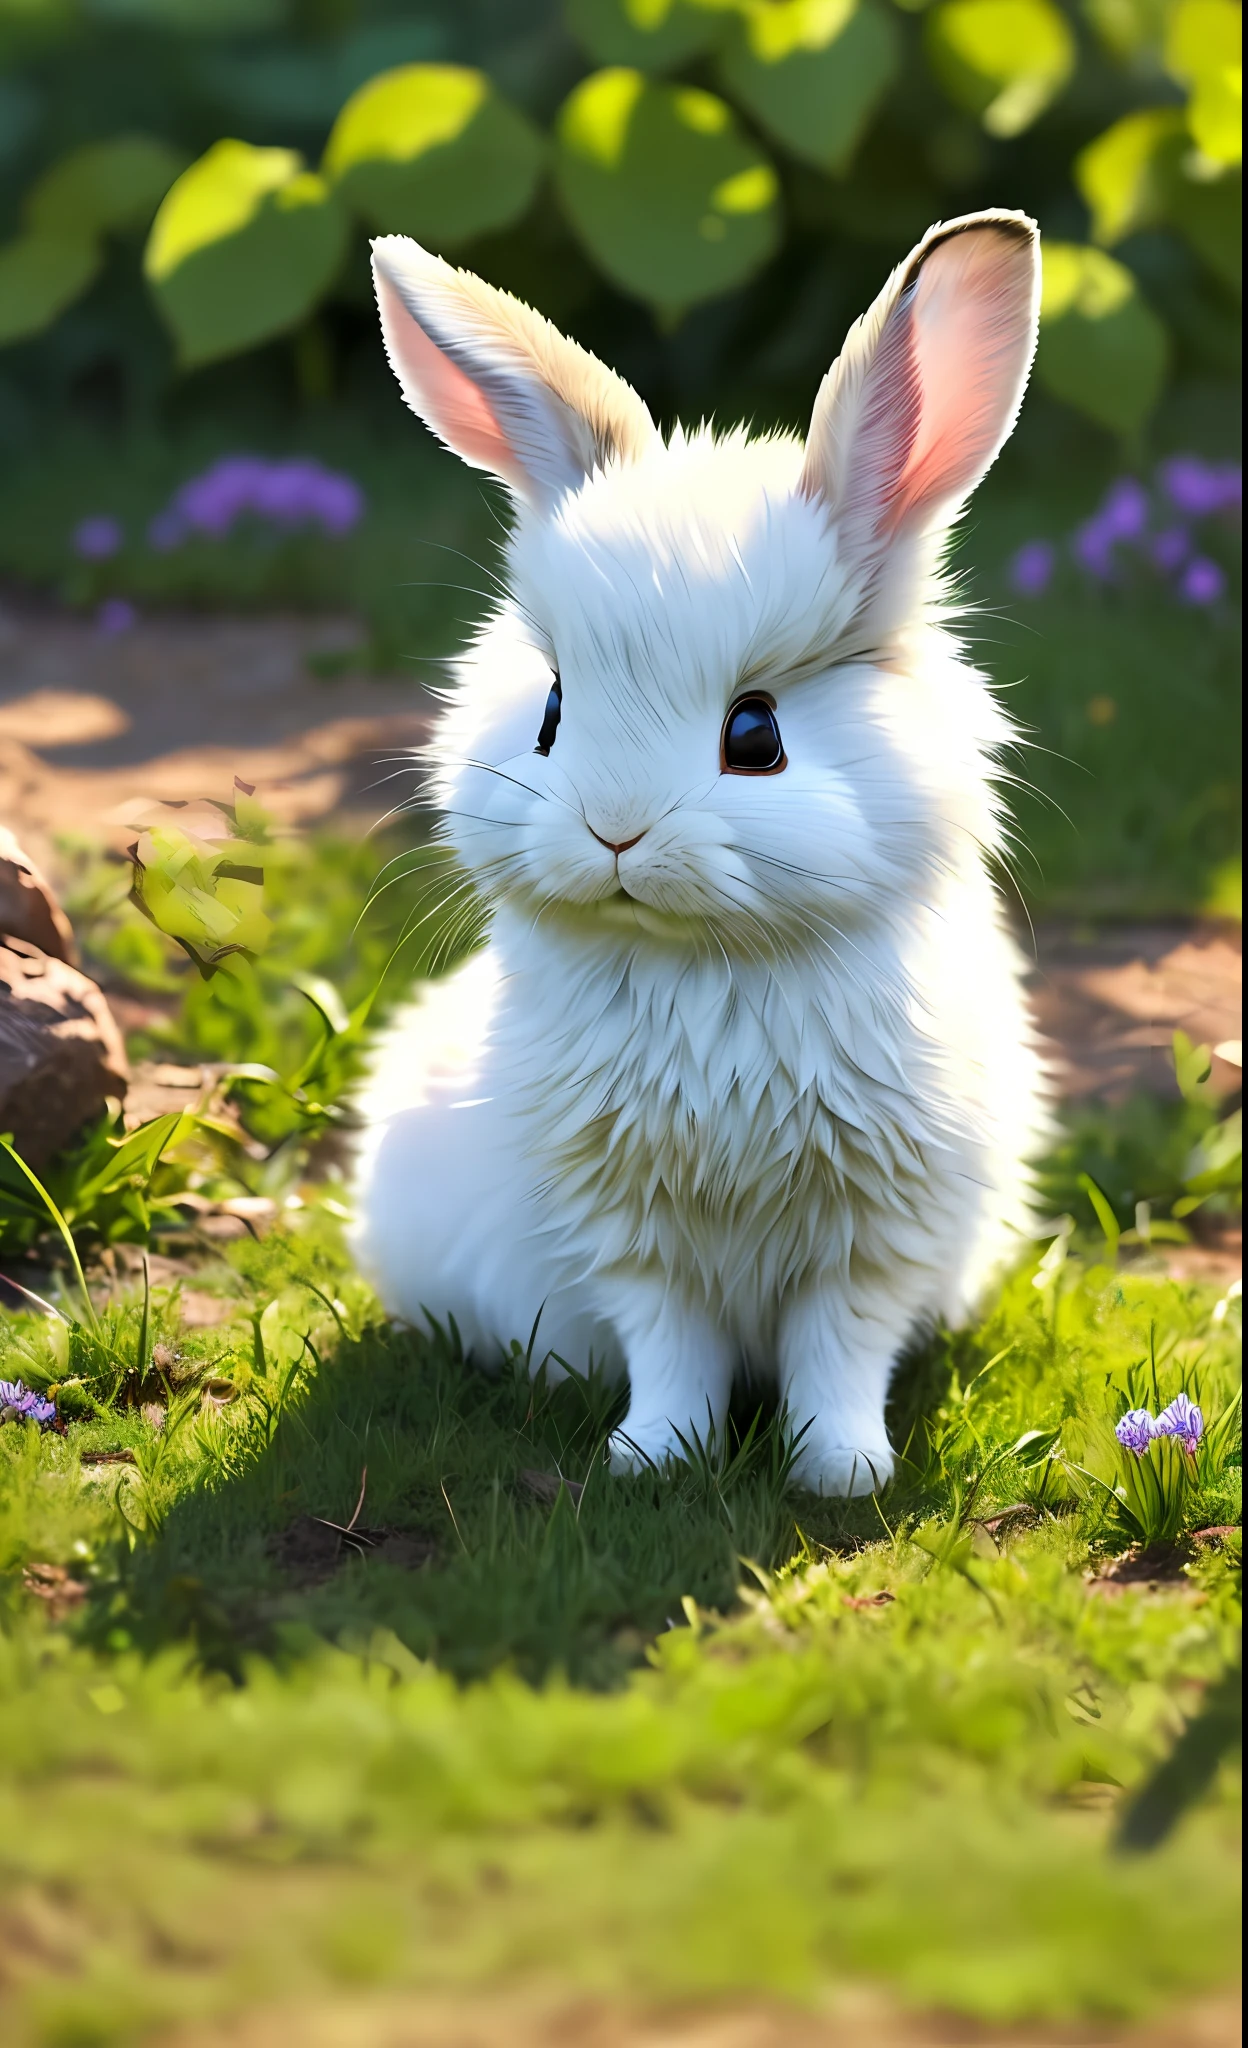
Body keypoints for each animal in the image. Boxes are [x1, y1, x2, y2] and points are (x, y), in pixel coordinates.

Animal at [350, 216, 1049, 1499]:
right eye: (553, 711)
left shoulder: (874, 1236)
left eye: (755, 732)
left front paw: (842, 1472)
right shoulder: (631, 1232)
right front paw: (652, 1458)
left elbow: (839, 1353)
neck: (707, 968)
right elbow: (669, 1346)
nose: (614, 829)